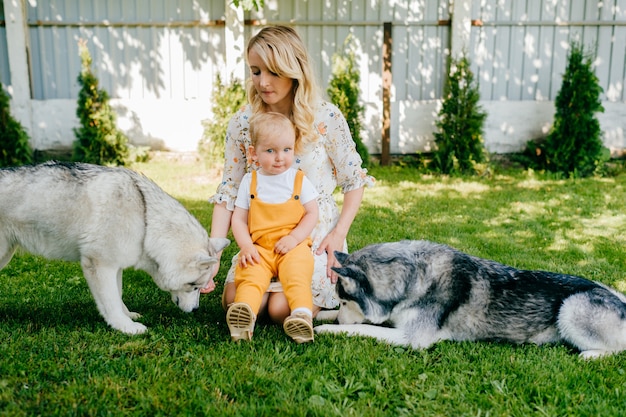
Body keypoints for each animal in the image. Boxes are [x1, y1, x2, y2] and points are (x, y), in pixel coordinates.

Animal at [0, 161, 229, 334]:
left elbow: (117, 297)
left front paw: (126, 316)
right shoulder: (100, 265)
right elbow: (110, 301)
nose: (196, 310)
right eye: (194, 286)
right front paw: (125, 327)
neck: (145, 218)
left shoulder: (116, 267)